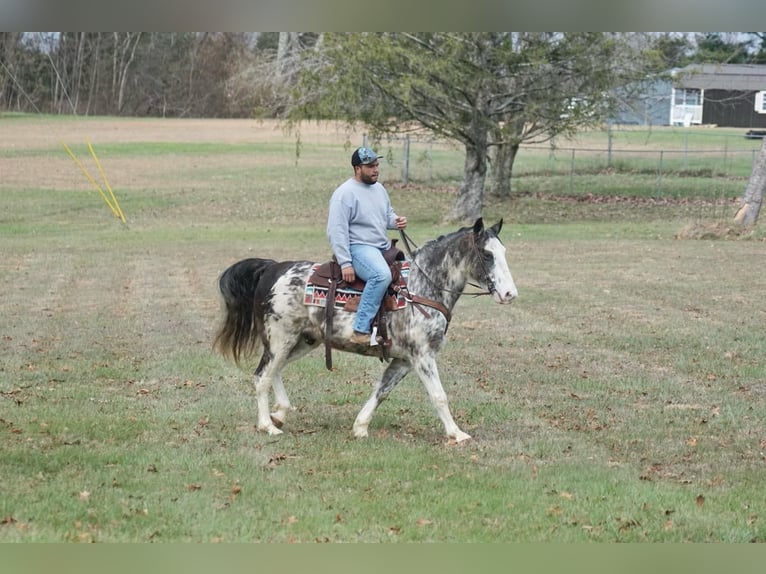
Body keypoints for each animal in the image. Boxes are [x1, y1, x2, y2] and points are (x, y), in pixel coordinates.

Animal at [213, 218, 520, 444]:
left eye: (504, 252)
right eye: (487, 254)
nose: (510, 294)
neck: (420, 287)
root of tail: (273, 269)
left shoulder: (403, 360)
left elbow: (381, 392)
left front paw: (360, 427)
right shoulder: (422, 357)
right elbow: (439, 396)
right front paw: (457, 434)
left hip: (303, 341)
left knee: (274, 371)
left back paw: (281, 413)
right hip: (280, 339)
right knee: (262, 376)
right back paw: (268, 425)